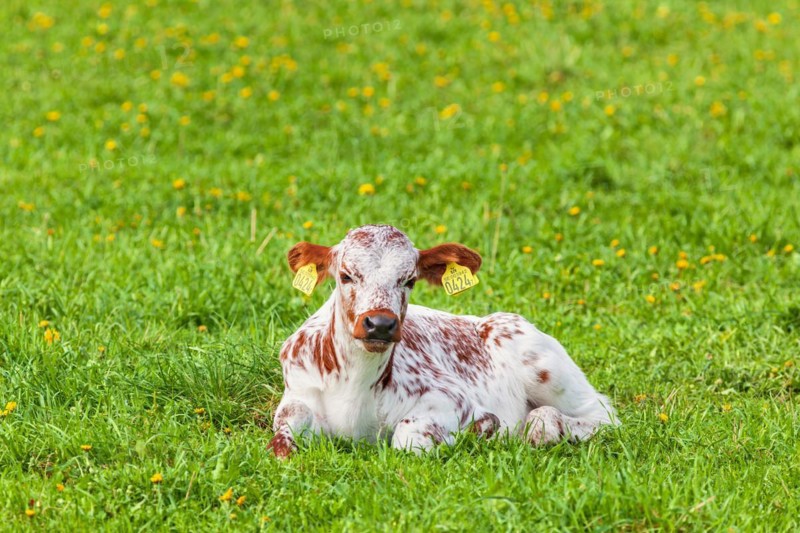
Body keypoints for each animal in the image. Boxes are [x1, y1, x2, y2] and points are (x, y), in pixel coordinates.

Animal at [268, 225, 618, 458]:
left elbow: (407, 438)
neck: (354, 386)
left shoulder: (450, 397)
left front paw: (480, 429)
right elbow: (282, 436)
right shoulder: (296, 391)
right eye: (346, 275)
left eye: (409, 280)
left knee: (599, 415)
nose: (380, 324)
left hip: (545, 367)